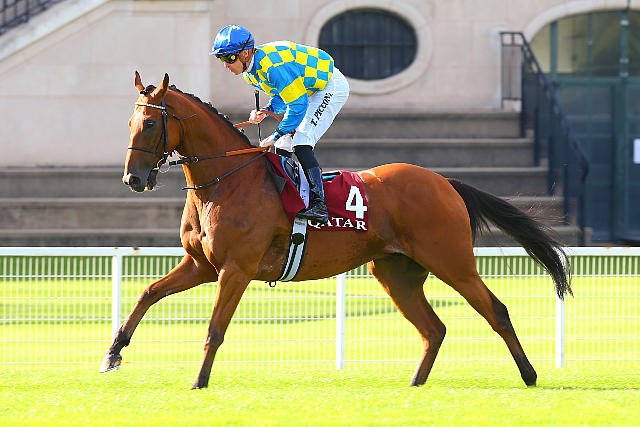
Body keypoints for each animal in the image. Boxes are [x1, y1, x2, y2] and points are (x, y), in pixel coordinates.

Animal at [100, 71, 572, 389]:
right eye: (129, 123)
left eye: (149, 124)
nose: (133, 179)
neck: (226, 180)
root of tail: (444, 181)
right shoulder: (201, 265)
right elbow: (147, 294)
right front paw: (113, 353)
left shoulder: (235, 269)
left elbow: (215, 328)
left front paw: (199, 380)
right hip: (395, 271)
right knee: (434, 328)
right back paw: (415, 384)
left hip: (452, 261)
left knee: (495, 310)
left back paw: (529, 374)